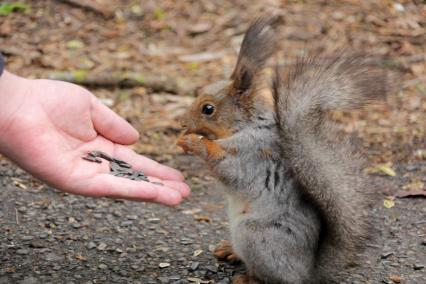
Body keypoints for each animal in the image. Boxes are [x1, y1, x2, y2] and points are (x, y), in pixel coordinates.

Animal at [176, 16, 392, 282]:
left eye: (208, 109)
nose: (182, 123)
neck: (246, 125)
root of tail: (308, 272)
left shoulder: (252, 154)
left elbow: (229, 169)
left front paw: (194, 142)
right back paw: (230, 250)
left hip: (256, 237)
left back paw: (248, 278)